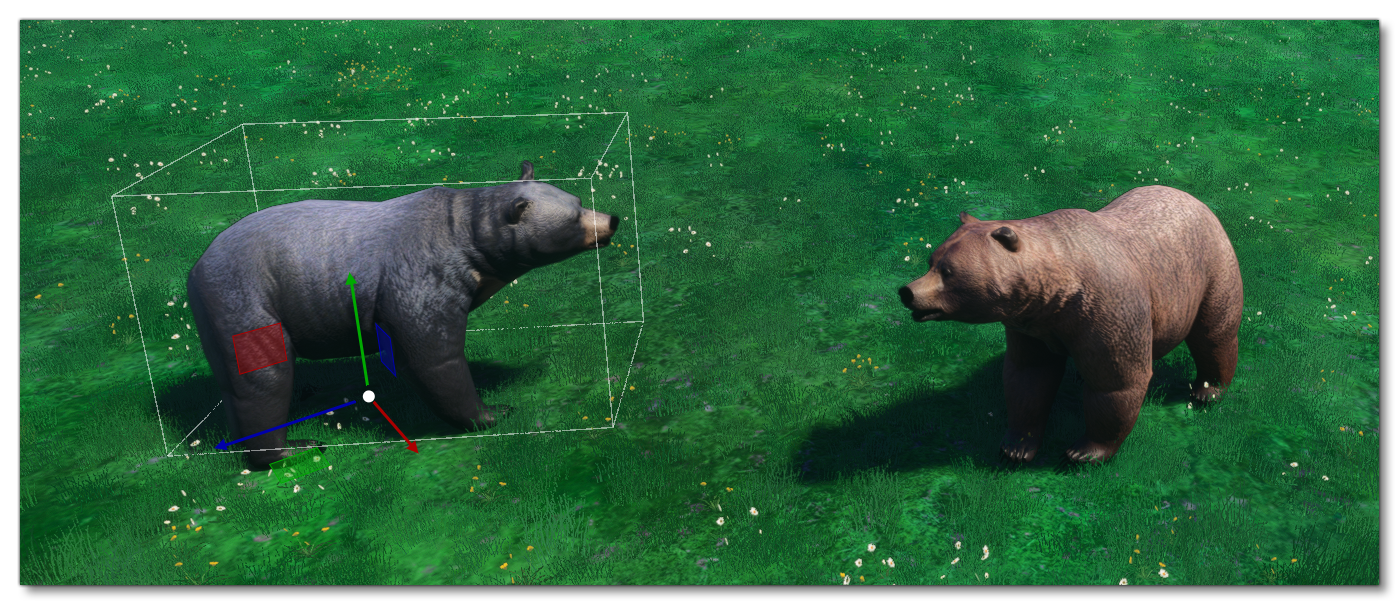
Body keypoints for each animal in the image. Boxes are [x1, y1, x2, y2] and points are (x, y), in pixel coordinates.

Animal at [187, 161, 618, 469]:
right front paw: (492, 412)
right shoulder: (421, 273)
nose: (612, 220)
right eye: (574, 215)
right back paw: (293, 447)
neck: (468, 241)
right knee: (264, 376)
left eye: (577, 197)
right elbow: (432, 354)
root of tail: (194, 271)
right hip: (246, 298)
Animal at [898, 185, 1242, 464]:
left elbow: (1115, 384)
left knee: (1214, 334)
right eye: (932, 261)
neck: (1058, 293)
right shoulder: (1032, 327)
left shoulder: (1106, 311)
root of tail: (1191, 197)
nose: (908, 292)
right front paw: (1016, 447)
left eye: (949, 272)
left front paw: (1084, 451)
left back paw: (1207, 391)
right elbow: (1028, 377)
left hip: (1210, 270)